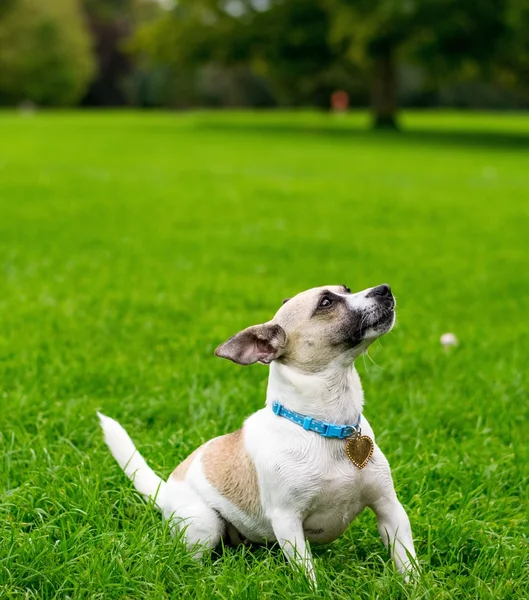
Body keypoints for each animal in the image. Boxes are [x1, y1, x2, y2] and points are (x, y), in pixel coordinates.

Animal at [97, 284, 414, 584]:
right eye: (326, 302)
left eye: (346, 289)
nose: (384, 288)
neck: (328, 427)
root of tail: (164, 492)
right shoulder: (288, 522)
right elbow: (307, 571)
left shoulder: (389, 507)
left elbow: (407, 562)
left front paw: (413, 586)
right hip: (206, 522)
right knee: (193, 560)